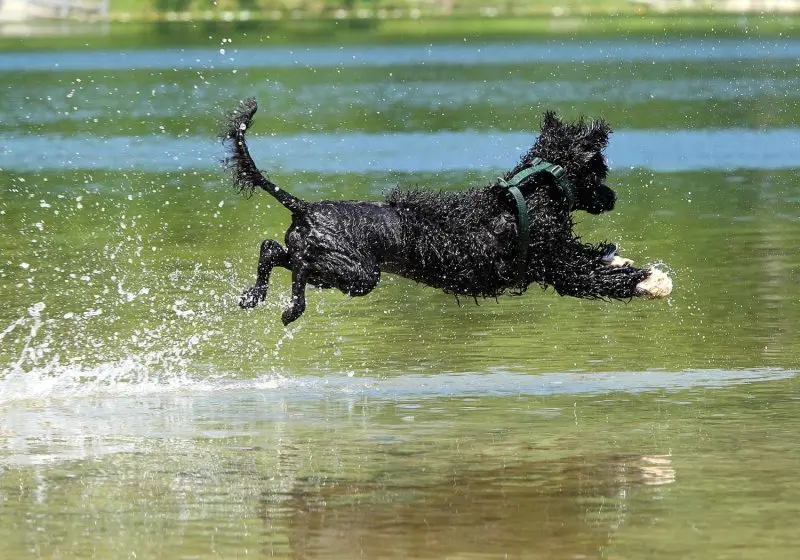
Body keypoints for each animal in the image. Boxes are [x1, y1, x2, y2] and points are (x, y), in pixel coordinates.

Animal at [219, 96, 668, 324]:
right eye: (599, 171)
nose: (612, 199)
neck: (534, 190)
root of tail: (306, 207)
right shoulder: (557, 267)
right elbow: (598, 278)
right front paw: (644, 279)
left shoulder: (560, 253)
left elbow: (595, 258)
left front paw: (626, 262)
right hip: (357, 274)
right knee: (296, 267)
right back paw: (291, 307)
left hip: (330, 262)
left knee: (271, 249)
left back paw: (254, 295)